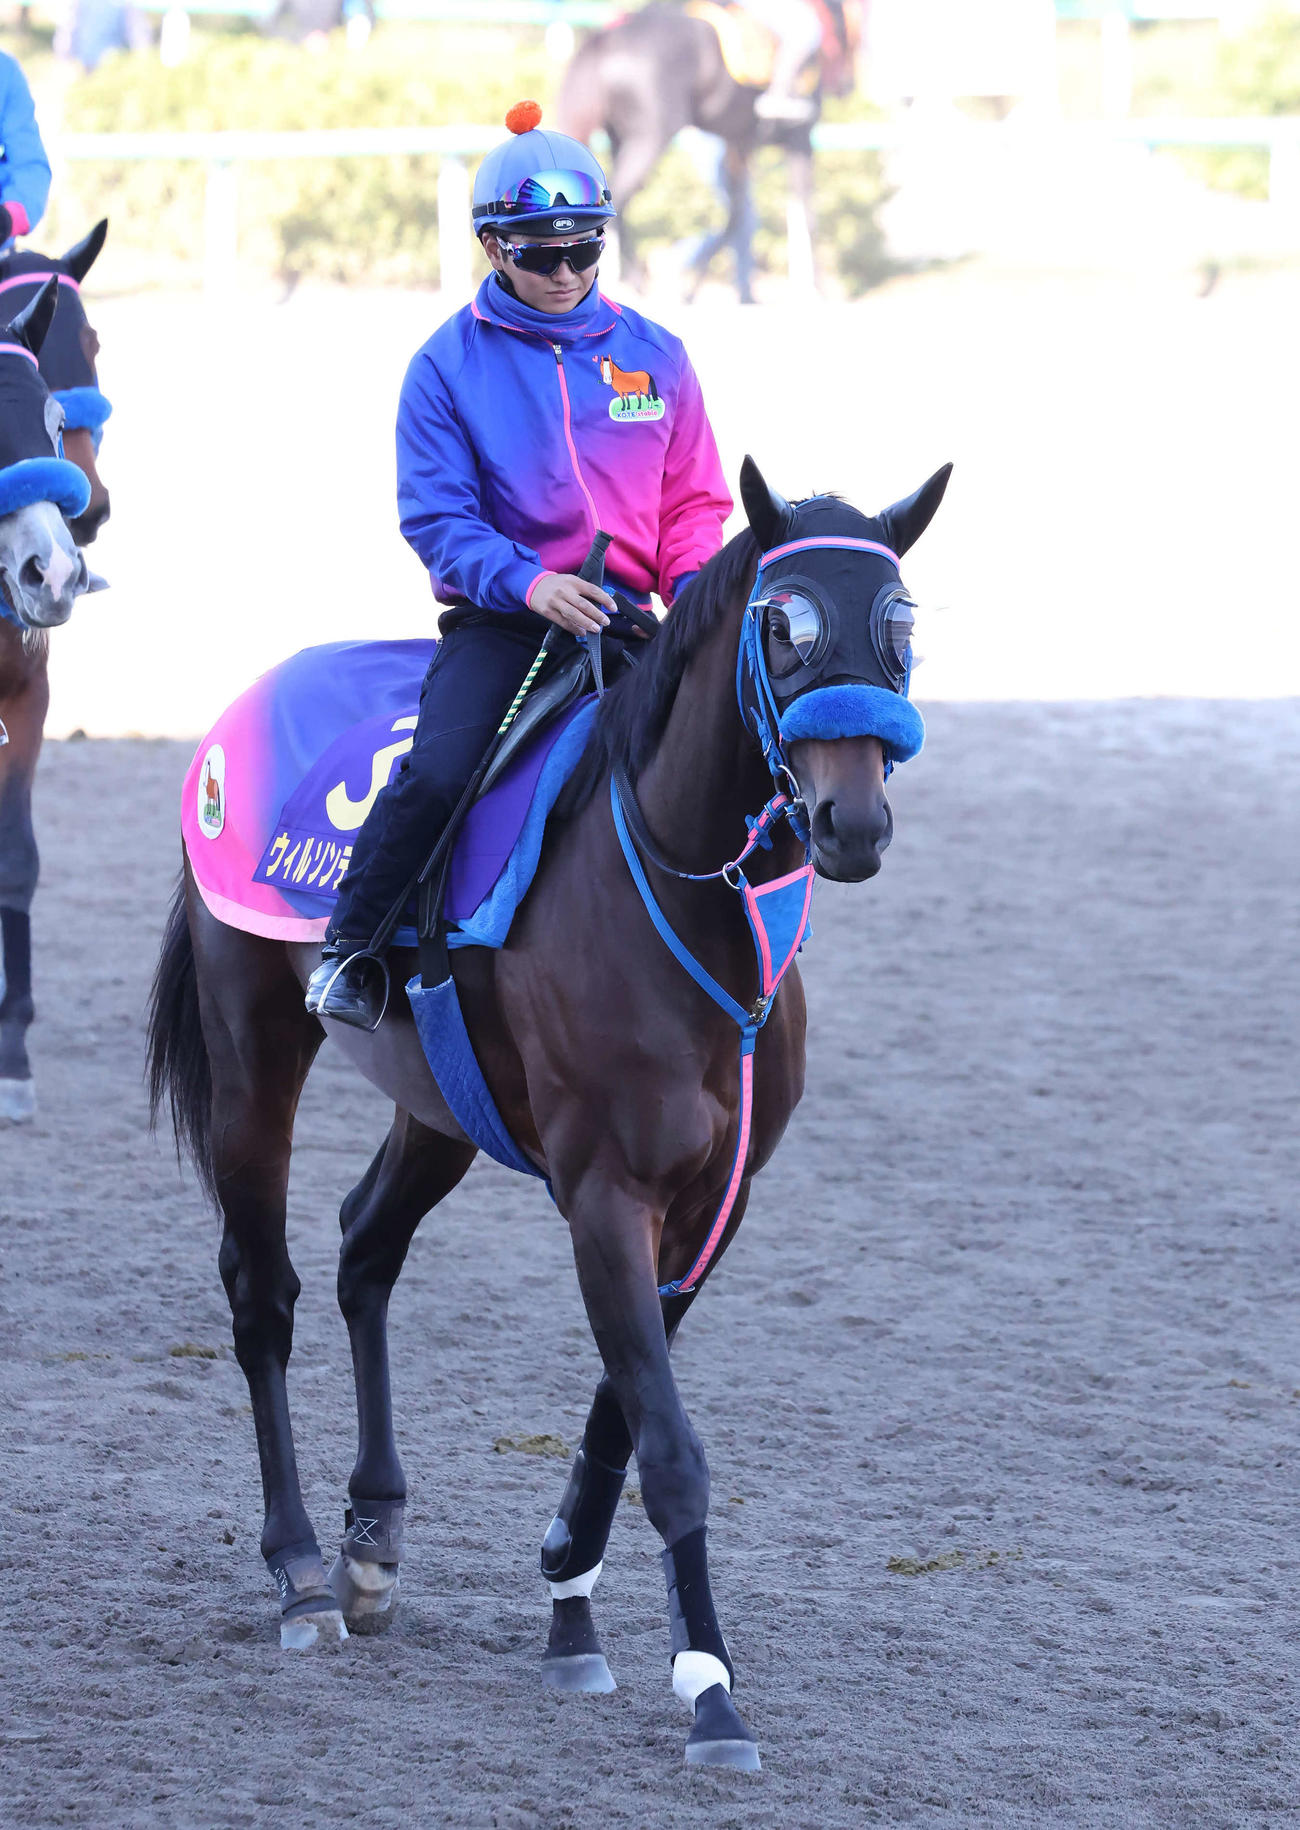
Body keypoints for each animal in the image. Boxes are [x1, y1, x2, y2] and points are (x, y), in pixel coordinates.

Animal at [147, 454, 951, 1770]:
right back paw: (305, 1571)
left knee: (365, 1245)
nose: (850, 823)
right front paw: (710, 1688)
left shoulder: (713, 1201)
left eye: (901, 628)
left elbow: (621, 1413)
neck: (687, 904)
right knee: (262, 1294)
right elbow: (666, 1444)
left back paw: (374, 1535)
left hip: (437, 1102)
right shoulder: (605, 1191)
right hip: (253, 1048)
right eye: (783, 627)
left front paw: (570, 1600)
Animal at [556, 0, 856, 303]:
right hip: (649, 139)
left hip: (621, 139)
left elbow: (736, 218)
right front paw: (821, 288)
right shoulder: (799, 140)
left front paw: (692, 289)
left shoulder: (740, 145)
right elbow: (808, 215)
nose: (847, 86)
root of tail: (607, 38)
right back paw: (630, 279)